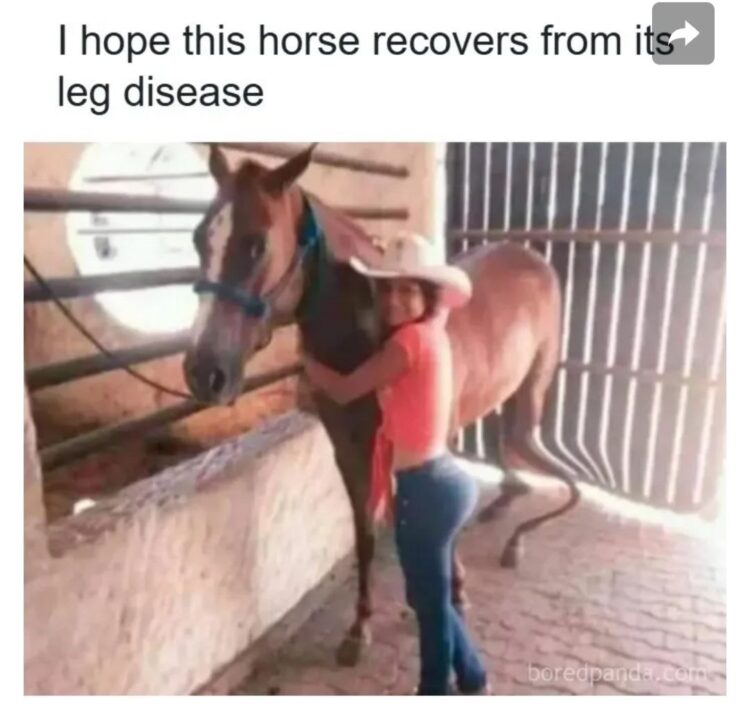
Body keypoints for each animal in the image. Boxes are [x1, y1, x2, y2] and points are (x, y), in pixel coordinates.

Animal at [182, 143, 580, 666]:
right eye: (198, 239)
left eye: (257, 244)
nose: (203, 373)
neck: (373, 338)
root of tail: (532, 257)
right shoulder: (349, 450)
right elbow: (367, 532)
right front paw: (360, 627)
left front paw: (452, 593)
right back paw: (505, 500)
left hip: (533, 390)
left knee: (533, 451)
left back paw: (515, 537)